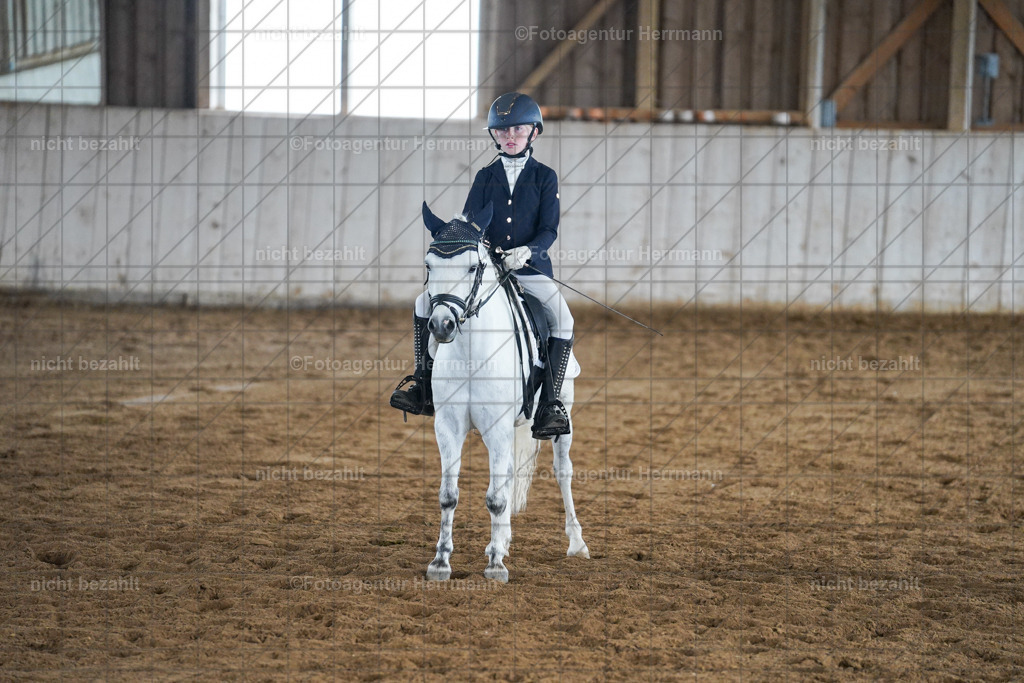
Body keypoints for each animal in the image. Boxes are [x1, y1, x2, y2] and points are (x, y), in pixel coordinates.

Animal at [419, 201, 590, 583]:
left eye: (473, 266)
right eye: (429, 265)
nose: (441, 325)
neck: (470, 352)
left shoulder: (496, 427)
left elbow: (495, 498)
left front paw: (496, 566)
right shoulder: (447, 426)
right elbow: (448, 495)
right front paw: (440, 562)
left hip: (562, 417)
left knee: (563, 471)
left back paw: (577, 544)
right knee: (509, 476)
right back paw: (504, 540)